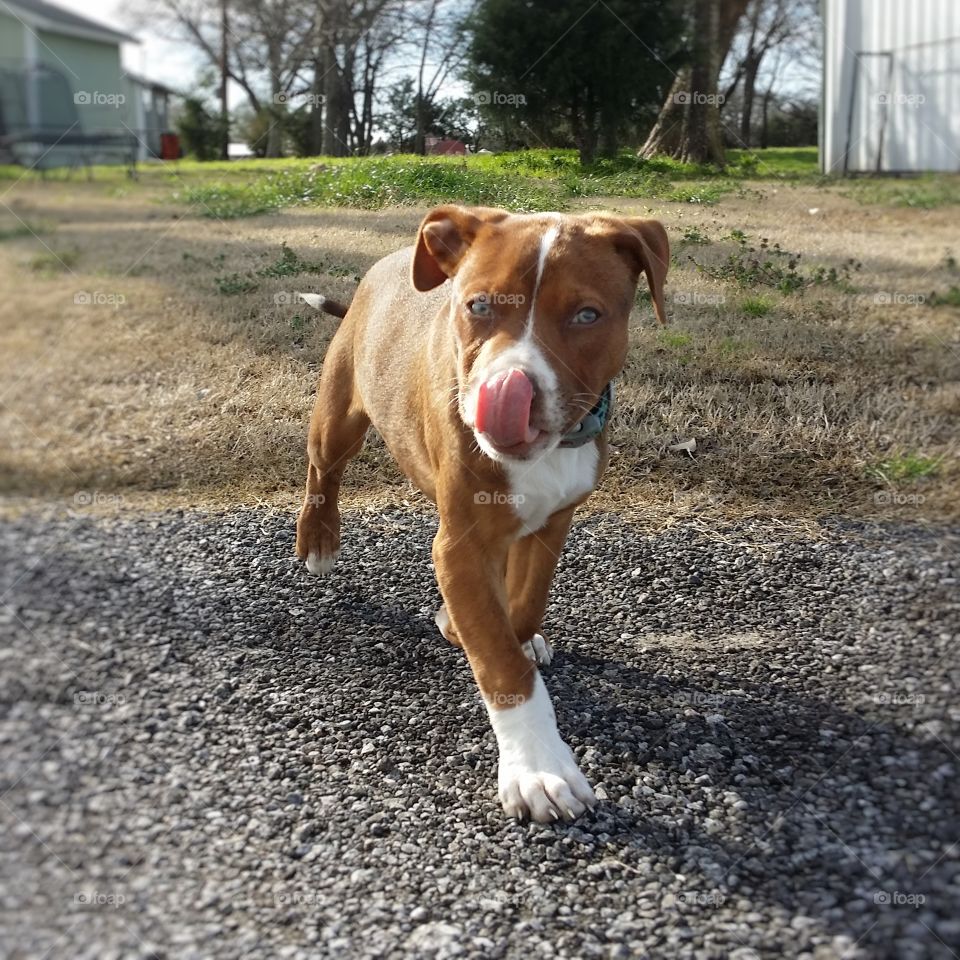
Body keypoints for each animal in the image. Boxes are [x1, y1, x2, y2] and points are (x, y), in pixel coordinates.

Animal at [294, 206, 668, 820]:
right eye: (478, 306)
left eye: (587, 315)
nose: (507, 390)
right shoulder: (461, 546)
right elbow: (501, 658)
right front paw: (539, 768)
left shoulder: (554, 523)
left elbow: (523, 603)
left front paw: (495, 628)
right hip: (339, 411)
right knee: (323, 468)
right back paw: (319, 541)